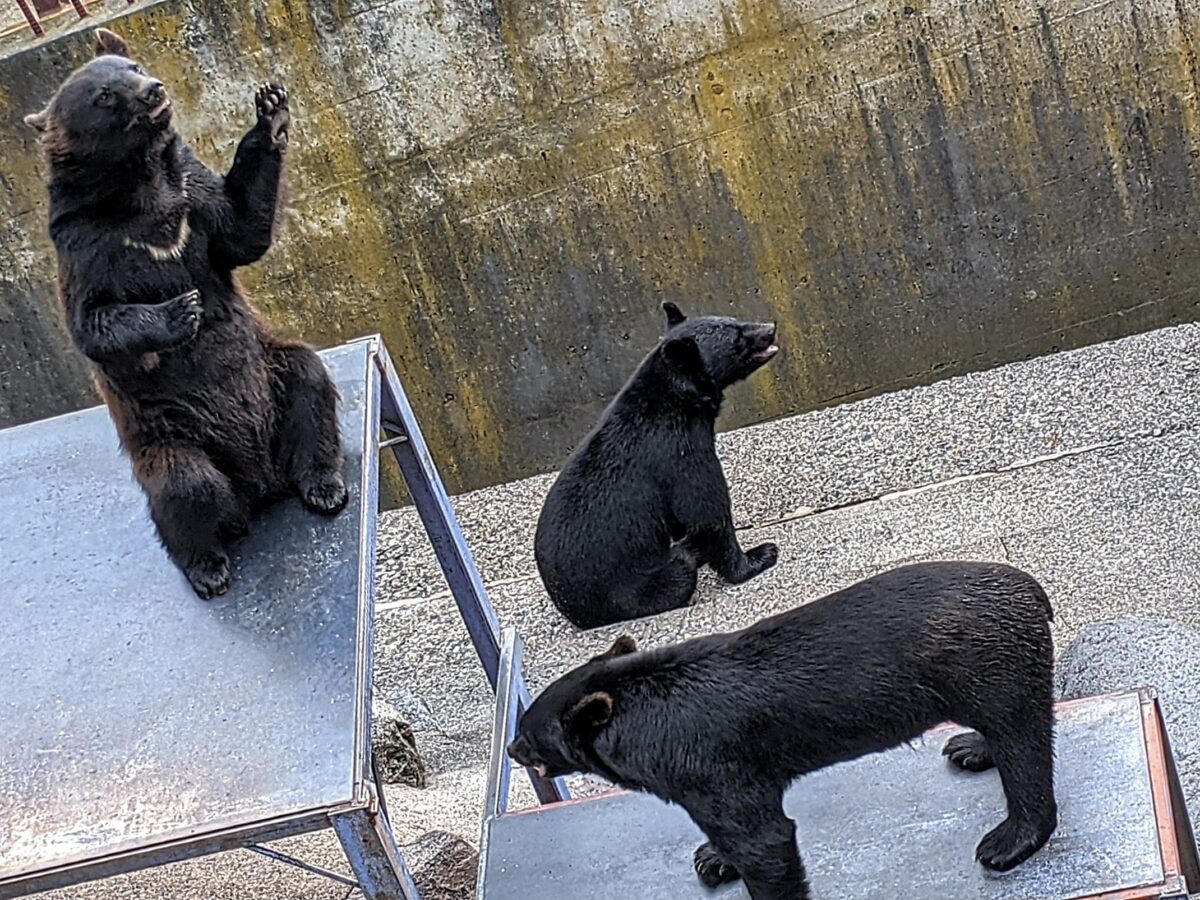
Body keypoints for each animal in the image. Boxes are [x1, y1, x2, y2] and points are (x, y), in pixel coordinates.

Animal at [24, 29, 347, 599]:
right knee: (184, 488)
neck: (141, 188)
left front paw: (271, 113)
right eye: (104, 95)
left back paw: (323, 484)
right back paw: (208, 565)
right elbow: (91, 321)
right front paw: (180, 310)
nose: (152, 89)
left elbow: (241, 230)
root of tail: (261, 484)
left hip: (273, 371)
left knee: (309, 383)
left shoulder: (191, 198)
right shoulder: (88, 244)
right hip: (173, 439)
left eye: (131, 65)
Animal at [508, 561, 1059, 900]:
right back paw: (971, 746)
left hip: (992, 665)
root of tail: (1034, 590)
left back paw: (1006, 840)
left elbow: (763, 840)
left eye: (527, 733)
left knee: (1022, 745)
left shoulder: (709, 762)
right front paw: (712, 858)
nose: (512, 748)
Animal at [534, 302, 780, 629]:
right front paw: (759, 557)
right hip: (638, 587)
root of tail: (575, 614)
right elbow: (706, 511)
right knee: (679, 571)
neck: (679, 399)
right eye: (737, 337)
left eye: (735, 320)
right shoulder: (680, 452)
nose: (770, 328)